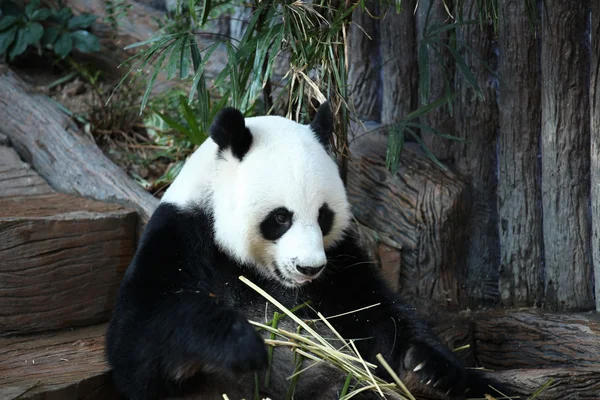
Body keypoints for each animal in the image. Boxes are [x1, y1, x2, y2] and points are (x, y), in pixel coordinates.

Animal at [104, 103, 506, 400]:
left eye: (324, 215)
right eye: (281, 217)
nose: (309, 268)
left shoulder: (342, 263)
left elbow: (378, 312)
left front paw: (428, 368)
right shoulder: (183, 238)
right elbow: (139, 341)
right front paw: (241, 343)